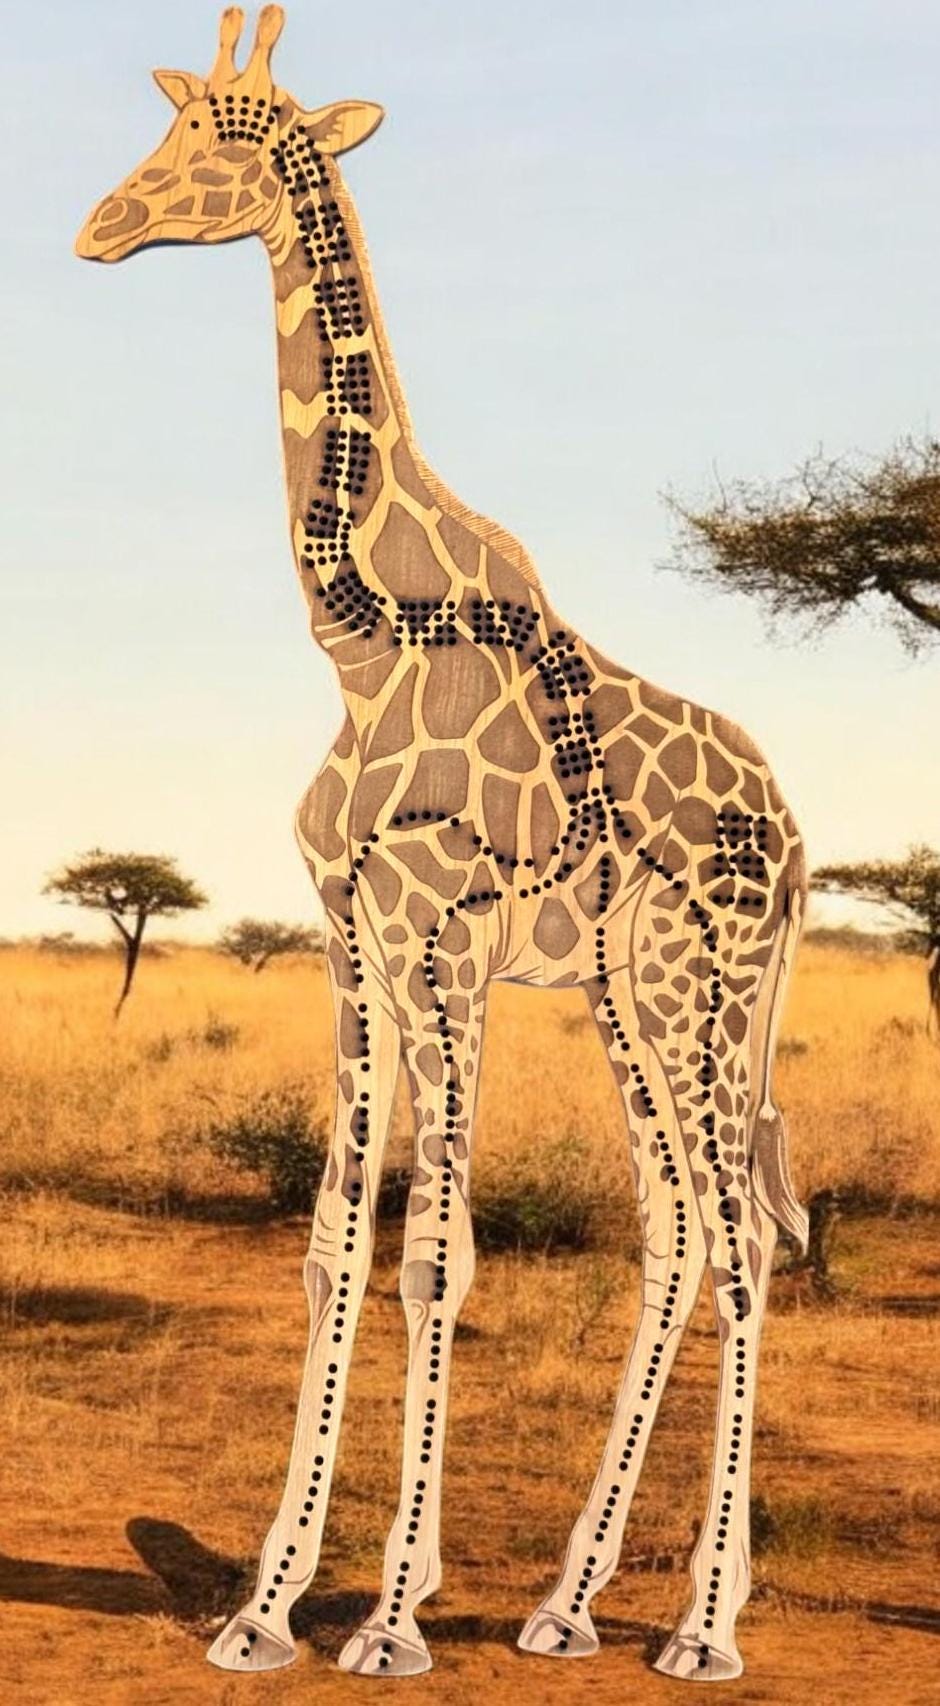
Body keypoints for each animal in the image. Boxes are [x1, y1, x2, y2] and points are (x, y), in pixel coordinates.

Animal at [76, 7, 809, 1685]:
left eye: (211, 140)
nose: (100, 228)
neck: (365, 634)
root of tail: (801, 837)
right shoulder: (352, 936)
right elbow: (332, 1244)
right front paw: (262, 1609)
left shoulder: (446, 937)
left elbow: (436, 1255)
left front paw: (391, 1617)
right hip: (627, 998)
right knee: (682, 1230)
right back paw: (571, 1605)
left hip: (706, 992)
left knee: (742, 1239)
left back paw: (700, 1633)